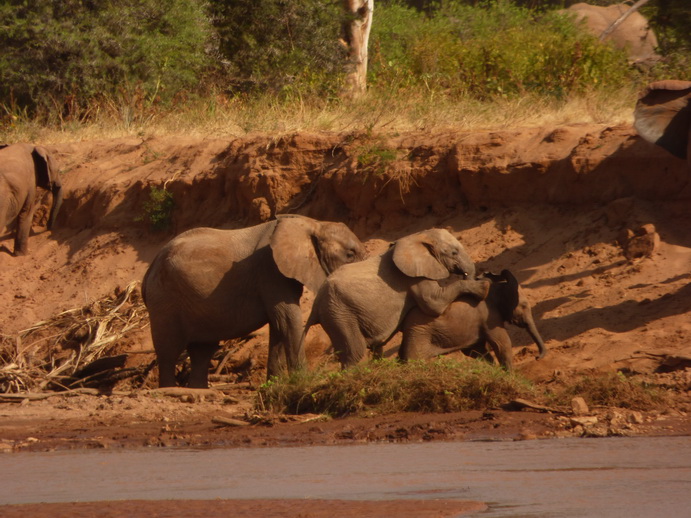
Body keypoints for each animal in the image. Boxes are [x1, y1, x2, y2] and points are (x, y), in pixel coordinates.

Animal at [142, 213, 368, 388]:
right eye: (350, 254)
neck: (312, 223)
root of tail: (149, 270)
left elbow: (279, 325)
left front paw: (275, 385)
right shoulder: (270, 270)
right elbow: (287, 320)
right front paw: (302, 382)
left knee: (201, 351)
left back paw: (198, 391)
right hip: (164, 299)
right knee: (169, 350)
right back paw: (169, 389)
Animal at [304, 229, 492, 370]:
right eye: (454, 252)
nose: (475, 274)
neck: (417, 237)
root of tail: (316, 303)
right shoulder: (415, 276)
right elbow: (434, 304)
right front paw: (484, 287)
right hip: (338, 312)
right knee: (356, 352)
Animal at [398, 270, 548, 372]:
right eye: (523, 305)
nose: (537, 357)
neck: (498, 288)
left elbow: (476, 350)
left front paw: (494, 371)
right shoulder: (490, 316)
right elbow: (501, 343)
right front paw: (510, 376)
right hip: (418, 332)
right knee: (413, 360)